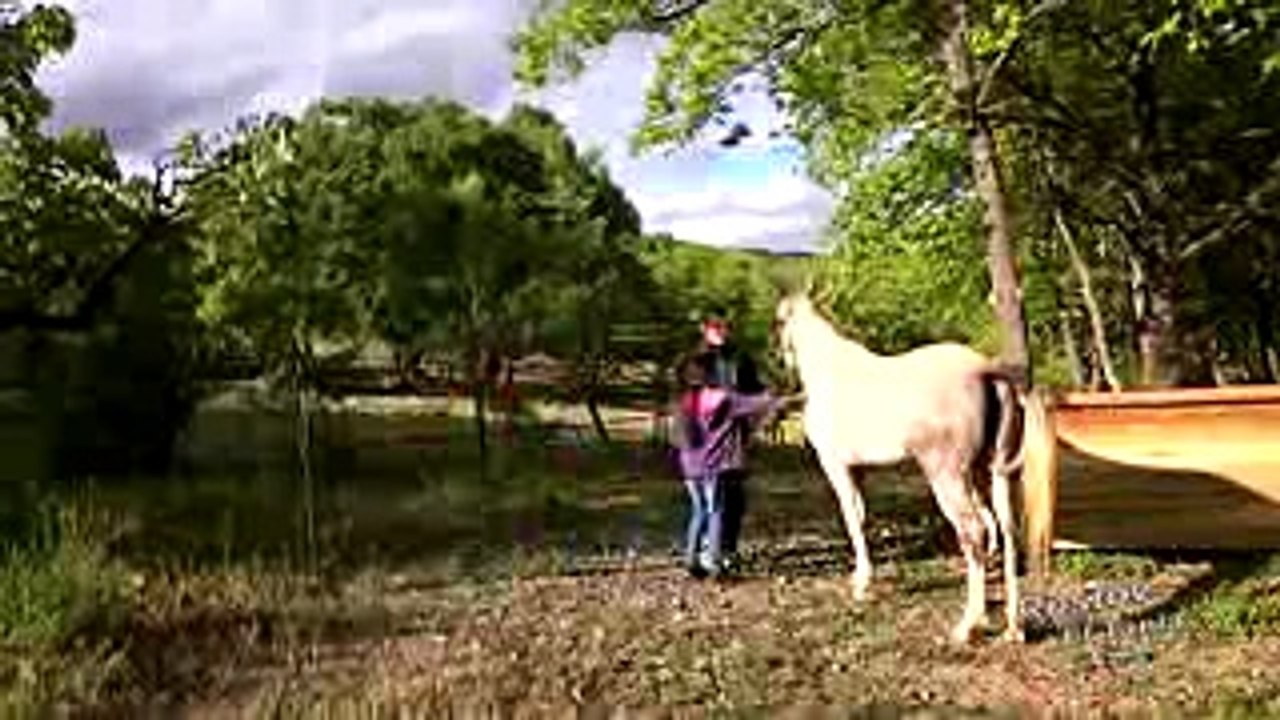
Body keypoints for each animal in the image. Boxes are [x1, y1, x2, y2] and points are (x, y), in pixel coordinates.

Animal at [773, 290, 1052, 644]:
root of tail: (986, 370)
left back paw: (966, 626)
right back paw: (1012, 628)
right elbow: (862, 518)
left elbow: (851, 520)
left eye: (780, 322)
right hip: (989, 474)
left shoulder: (836, 466)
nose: (783, 360)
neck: (832, 373)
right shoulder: (858, 470)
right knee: (1004, 529)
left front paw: (861, 586)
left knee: (974, 532)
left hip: (948, 478)